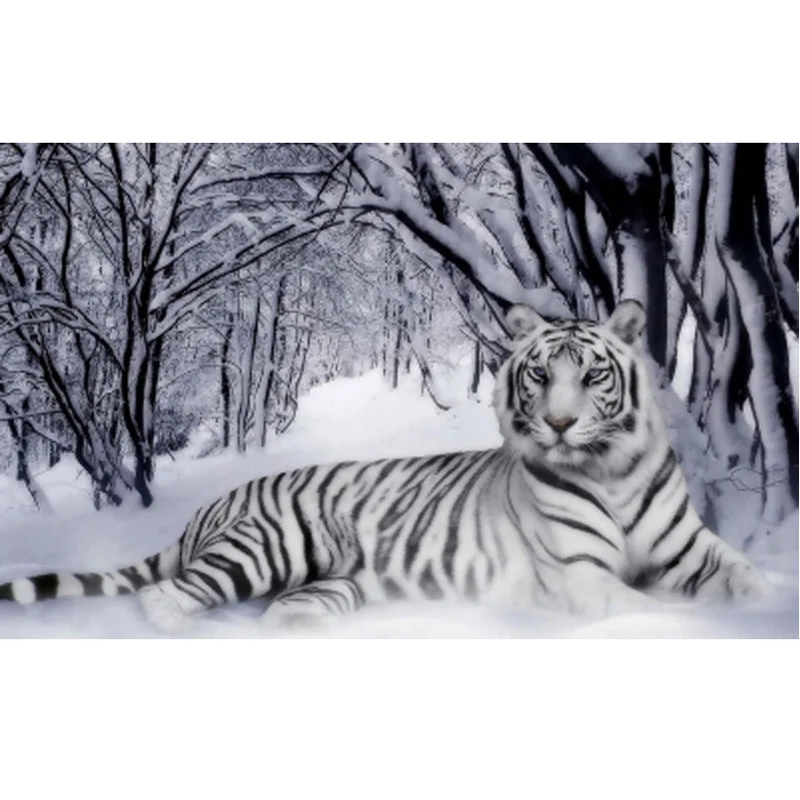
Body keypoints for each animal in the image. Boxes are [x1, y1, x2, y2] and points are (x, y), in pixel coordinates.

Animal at [0, 300, 771, 633]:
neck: (612, 471)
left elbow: (749, 578)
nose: (557, 423)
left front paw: (764, 602)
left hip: (331, 585)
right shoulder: (582, 577)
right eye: (540, 375)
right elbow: (650, 609)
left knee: (282, 612)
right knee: (164, 597)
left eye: (592, 376)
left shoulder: (692, 550)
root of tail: (209, 508)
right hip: (268, 546)